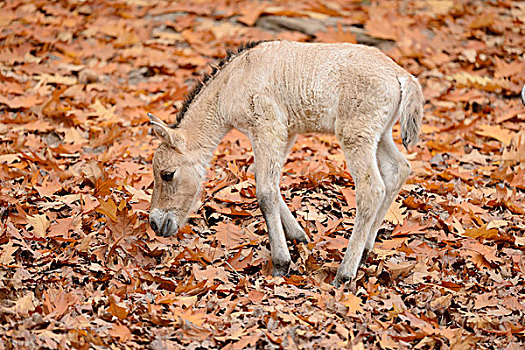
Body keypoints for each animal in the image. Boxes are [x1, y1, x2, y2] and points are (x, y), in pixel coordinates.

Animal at [146, 41, 422, 288]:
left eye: (167, 174)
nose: (156, 224)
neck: (230, 85)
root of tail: (402, 75)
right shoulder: (286, 133)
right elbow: (265, 178)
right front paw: (298, 236)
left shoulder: (267, 127)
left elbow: (265, 191)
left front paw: (281, 262)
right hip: (381, 133)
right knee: (399, 170)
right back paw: (365, 250)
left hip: (356, 133)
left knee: (372, 189)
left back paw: (345, 272)